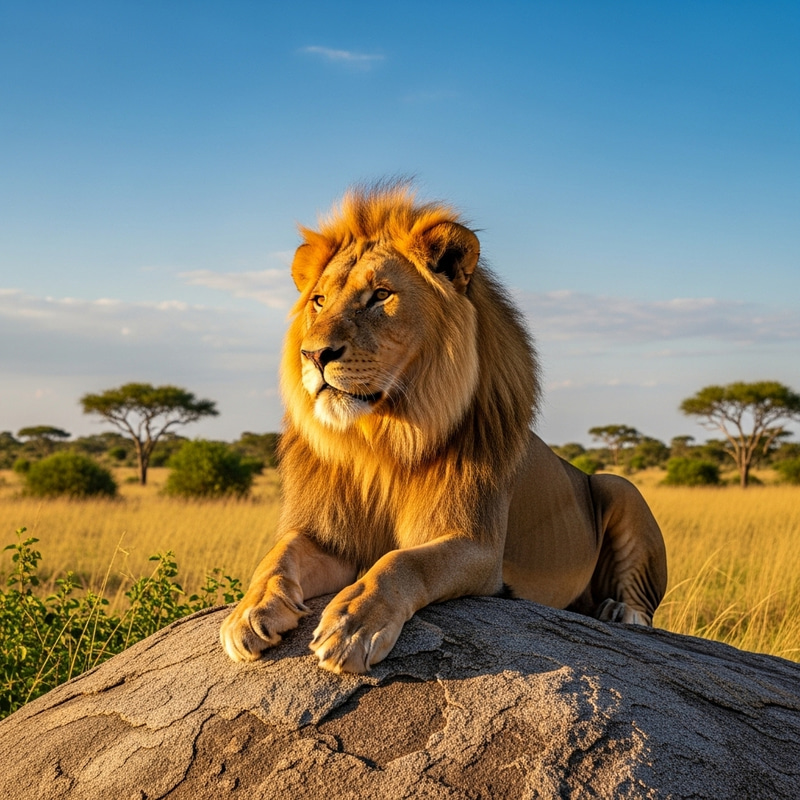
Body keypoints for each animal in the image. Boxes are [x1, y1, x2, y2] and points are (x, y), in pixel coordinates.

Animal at [220, 182, 668, 674]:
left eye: (380, 295)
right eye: (318, 301)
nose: (314, 354)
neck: (380, 442)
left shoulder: (478, 547)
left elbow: (402, 563)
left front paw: (352, 624)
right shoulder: (334, 541)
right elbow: (279, 554)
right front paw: (249, 612)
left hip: (619, 485)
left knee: (643, 602)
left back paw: (620, 612)